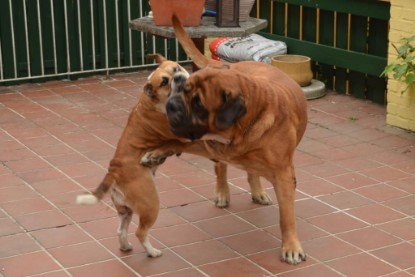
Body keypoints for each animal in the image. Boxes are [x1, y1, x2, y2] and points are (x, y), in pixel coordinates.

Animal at [143, 14, 308, 264]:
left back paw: (258, 191)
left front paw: (291, 246)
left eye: (198, 102)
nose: (171, 105)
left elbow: (286, 216)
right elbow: (175, 143)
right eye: (183, 89)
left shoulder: (283, 175)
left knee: (249, 171)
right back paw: (222, 192)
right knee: (220, 167)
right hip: (210, 149)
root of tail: (226, 64)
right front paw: (156, 152)